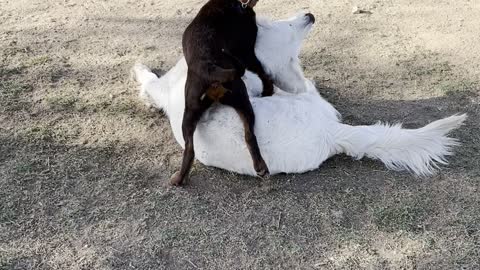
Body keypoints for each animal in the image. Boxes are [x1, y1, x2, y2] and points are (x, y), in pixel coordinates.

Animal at [134, 12, 464, 177]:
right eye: (285, 23)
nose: (309, 14)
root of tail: (332, 133)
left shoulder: (161, 88)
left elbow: (148, 79)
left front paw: (139, 68)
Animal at [171, 0, 272, 186]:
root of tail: (208, 66)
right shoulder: (247, 53)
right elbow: (265, 74)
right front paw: (269, 90)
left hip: (190, 112)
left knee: (190, 149)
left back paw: (179, 178)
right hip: (242, 95)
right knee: (250, 135)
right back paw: (260, 167)